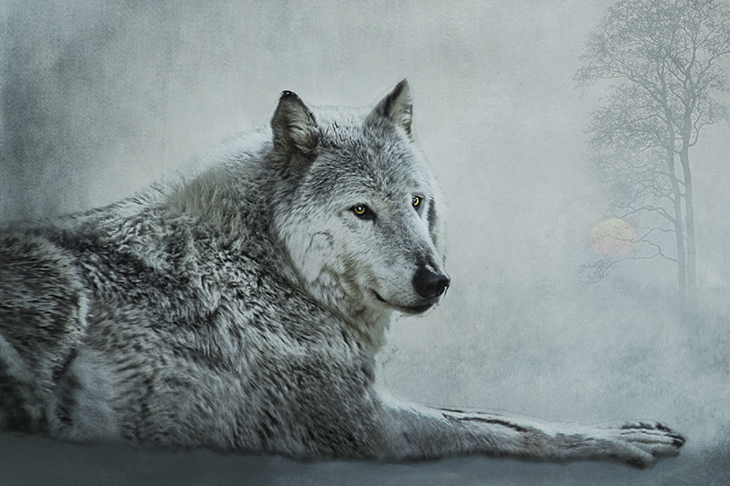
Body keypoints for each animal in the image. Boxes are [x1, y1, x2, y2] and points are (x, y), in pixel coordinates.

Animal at [0, 80, 684, 467]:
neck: (268, 266)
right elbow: (507, 430)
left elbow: (497, 414)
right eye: (361, 211)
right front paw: (626, 442)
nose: (436, 282)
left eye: (416, 202)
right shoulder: (368, 428)